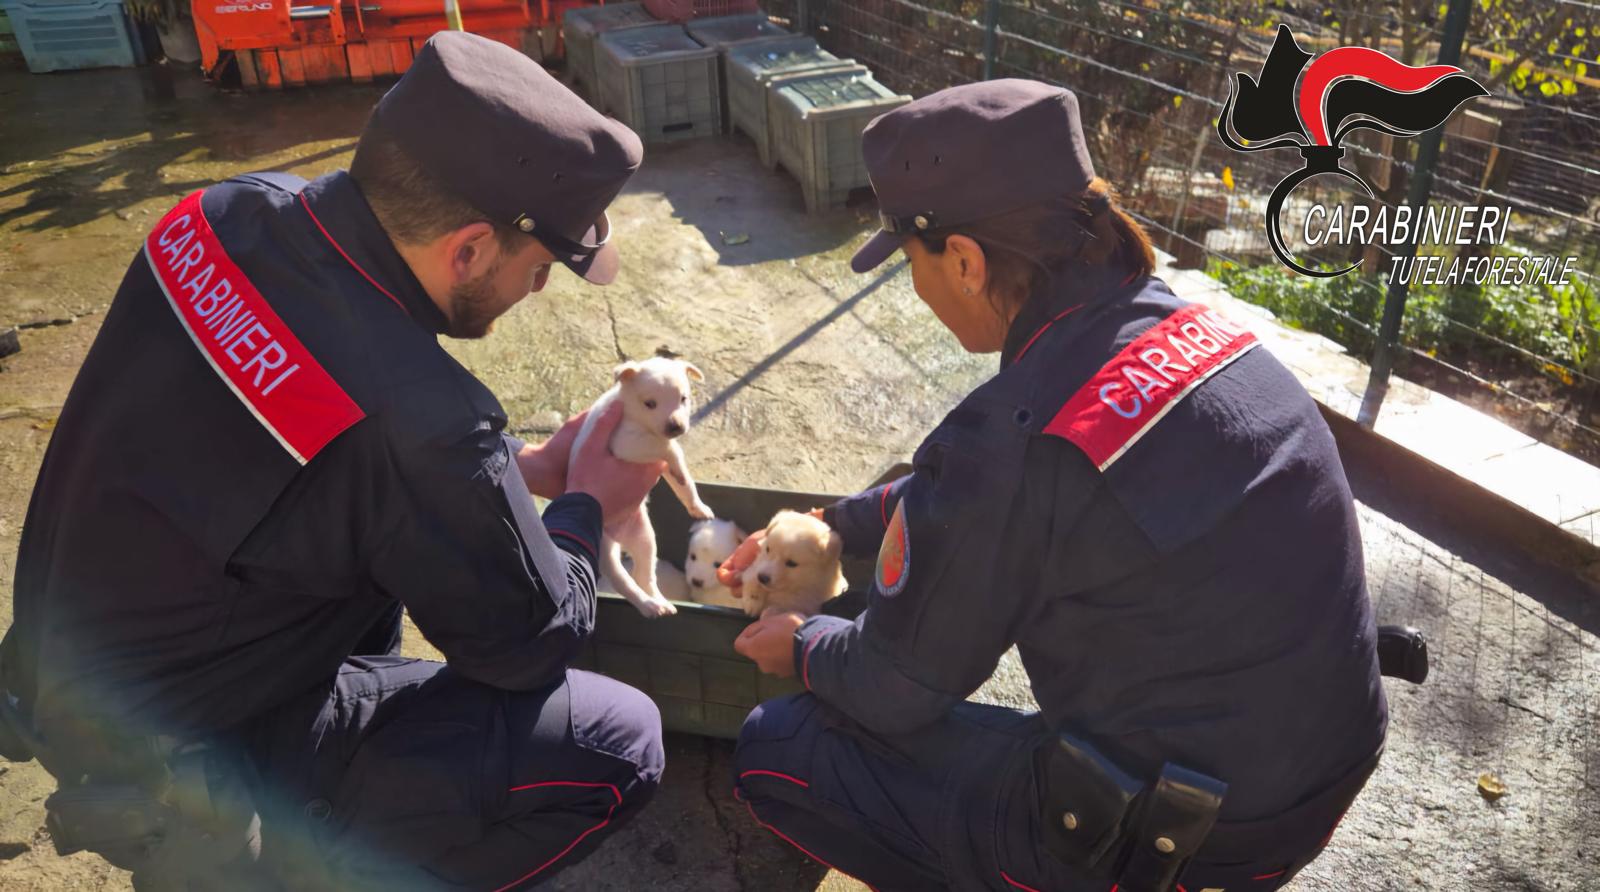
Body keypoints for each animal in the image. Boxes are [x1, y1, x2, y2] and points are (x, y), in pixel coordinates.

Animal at [566, 353, 710, 620]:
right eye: (649, 404)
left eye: (684, 399)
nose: (676, 427)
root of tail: (620, 538)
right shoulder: (626, 441)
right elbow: (668, 448)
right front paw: (674, 453)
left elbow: (684, 484)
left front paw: (698, 507)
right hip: (605, 550)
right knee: (625, 582)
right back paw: (649, 606)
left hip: (644, 537)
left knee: (644, 575)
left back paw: (661, 602)